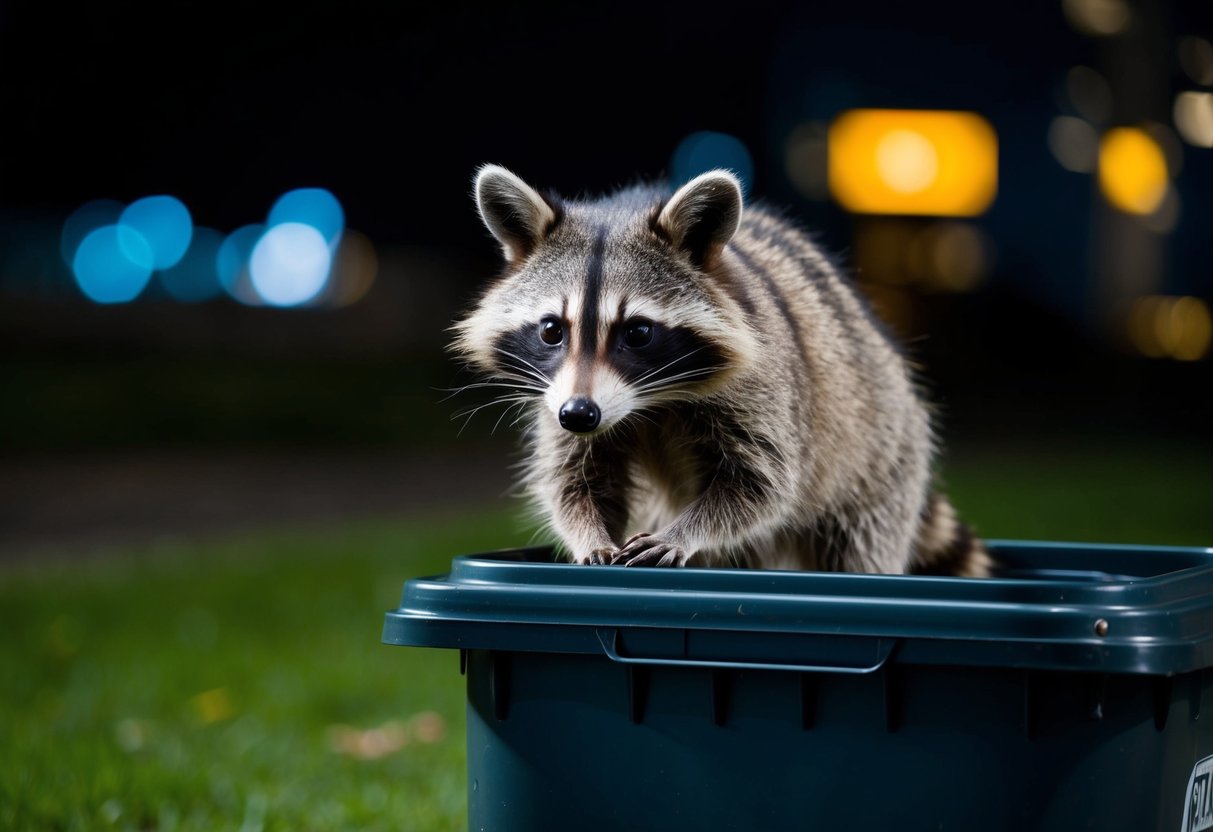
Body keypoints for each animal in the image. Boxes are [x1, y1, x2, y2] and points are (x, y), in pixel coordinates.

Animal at [452, 164, 989, 576]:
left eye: (638, 333)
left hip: (881, 459)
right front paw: (588, 535)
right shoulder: (557, 393)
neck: (649, 402)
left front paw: (686, 532)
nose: (579, 415)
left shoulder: (764, 383)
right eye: (551, 330)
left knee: (859, 542)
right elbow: (574, 479)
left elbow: (762, 484)